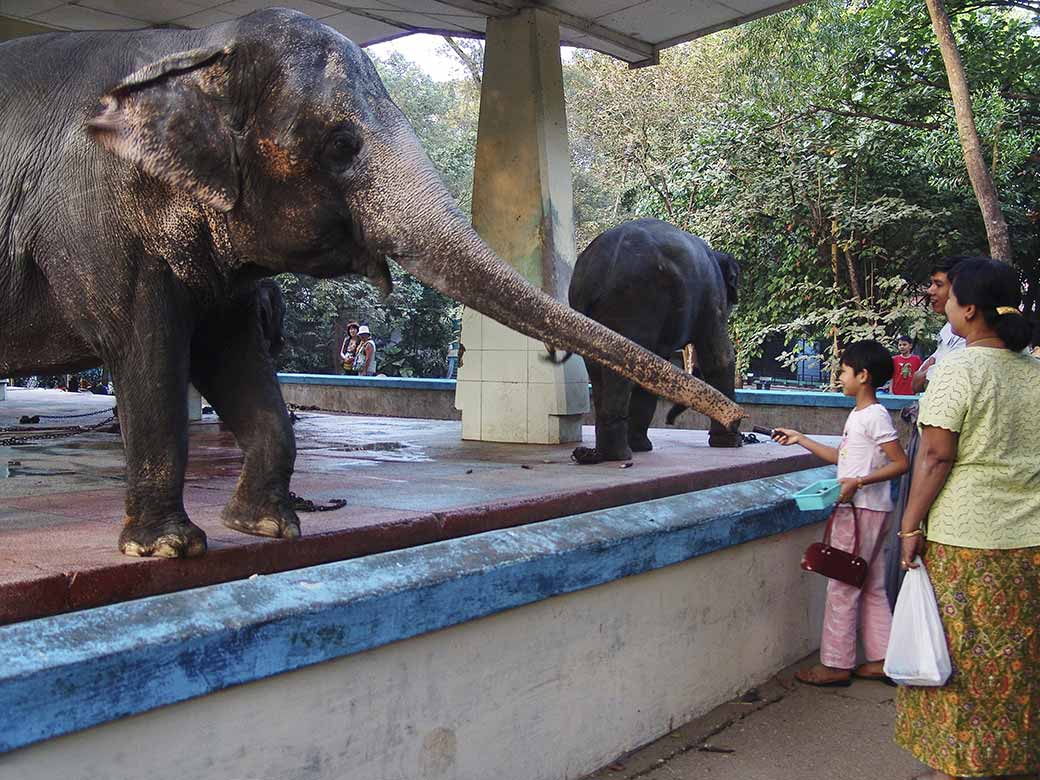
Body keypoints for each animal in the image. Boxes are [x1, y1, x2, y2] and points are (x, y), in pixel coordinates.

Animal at [568, 219, 741, 463]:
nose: (670, 420)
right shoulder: (712, 297)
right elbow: (720, 358)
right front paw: (730, 443)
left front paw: (642, 446)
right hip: (634, 300)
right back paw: (619, 455)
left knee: (597, 365)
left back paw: (602, 454)